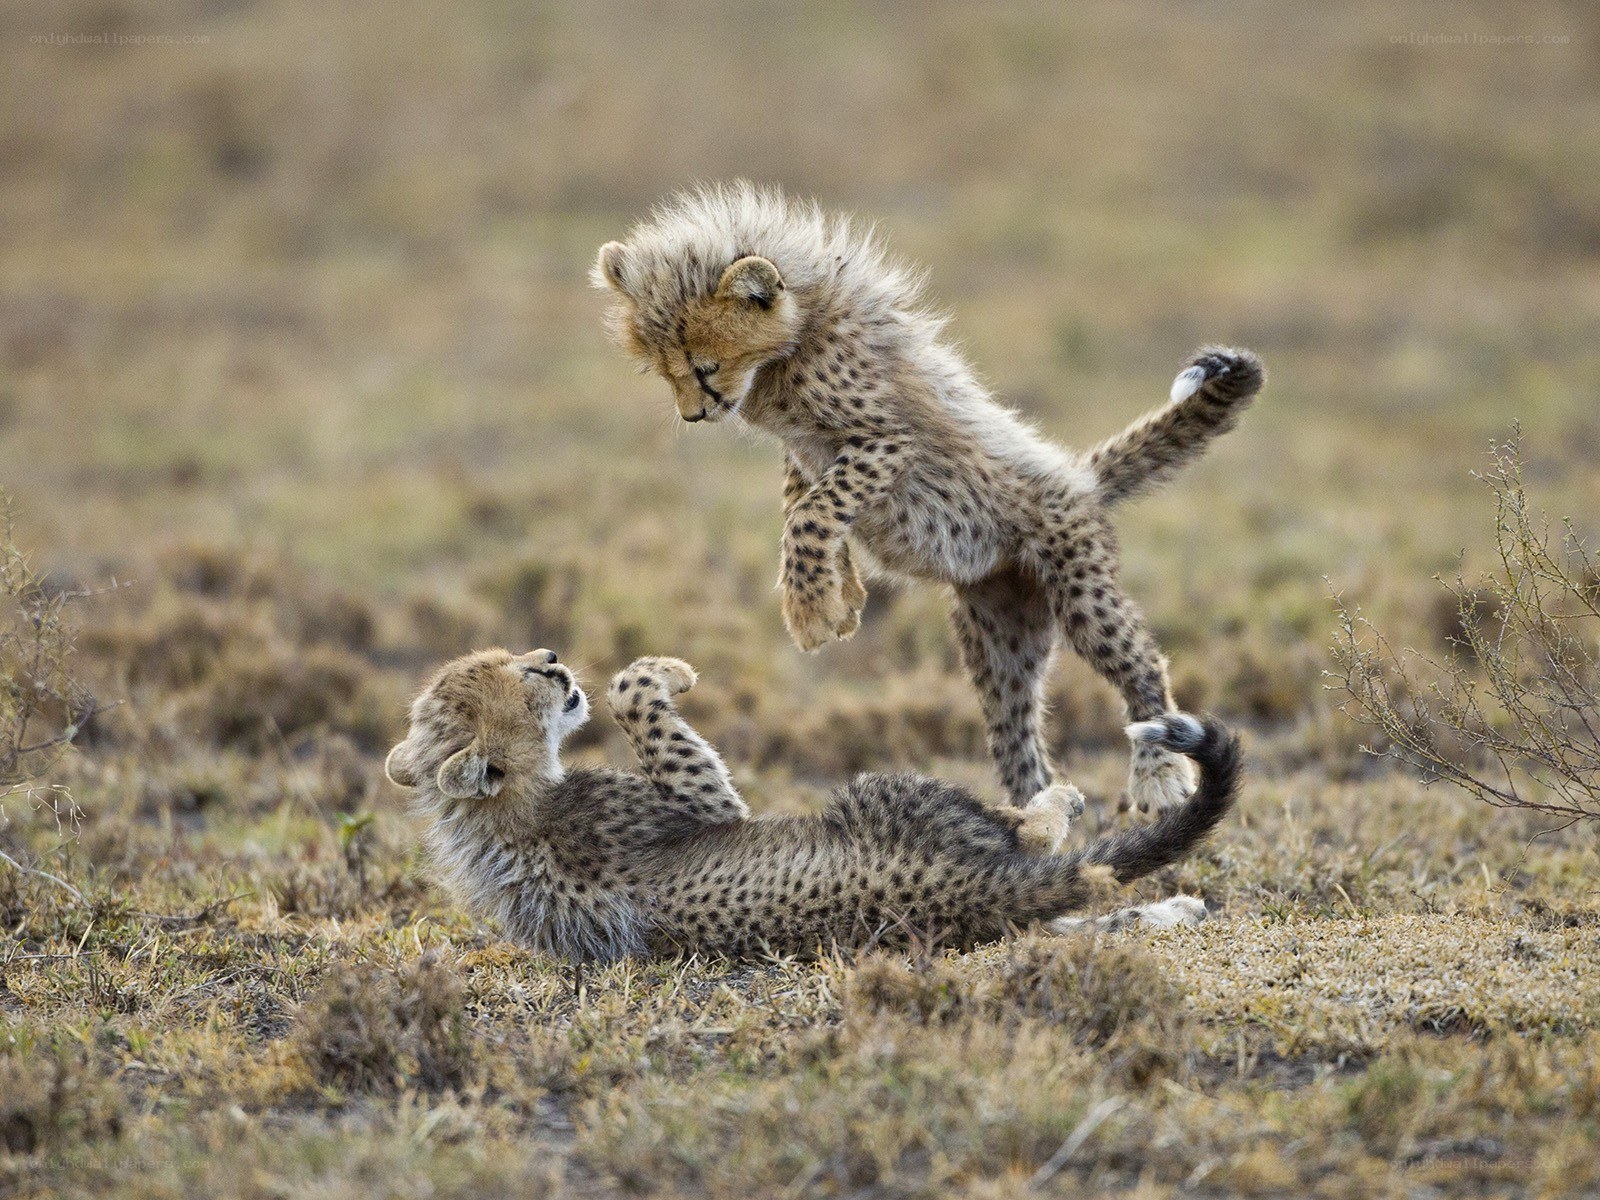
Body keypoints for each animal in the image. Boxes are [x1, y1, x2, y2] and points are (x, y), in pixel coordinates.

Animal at [383, 646, 1242, 964]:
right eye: (523, 676)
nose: (554, 659)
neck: (505, 813)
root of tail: (956, 894)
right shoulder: (704, 805)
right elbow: (635, 699)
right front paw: (667, 672)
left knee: (1076, 912)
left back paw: (1176, 909)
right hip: (885, 793)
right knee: (1034, 845)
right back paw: (1053, 798)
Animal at [593, 182, 1264, 815]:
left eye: (703, 367)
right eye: (663, 371)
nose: (693, 414)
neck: (796, 339)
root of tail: (1078, 477)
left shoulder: (888, 441)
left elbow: (814, 510)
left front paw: (811, 610)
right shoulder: (807, 450)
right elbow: (801, 499)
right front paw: (841, 595)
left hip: (1079, 589)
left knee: (1143, 666)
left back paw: (1158, 773)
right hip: (1001, 640)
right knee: (1017, 738)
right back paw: (1033, 818)